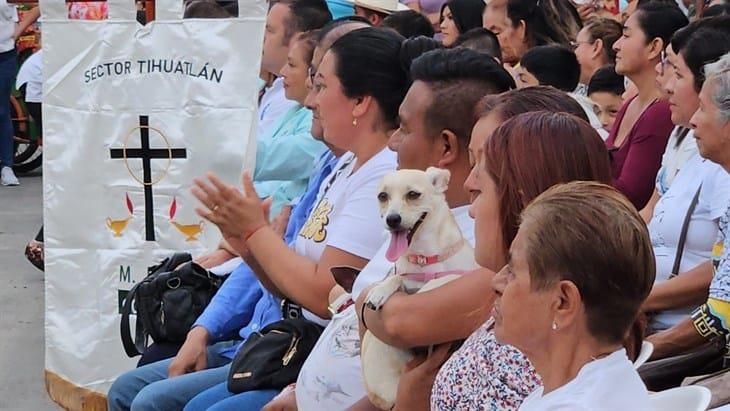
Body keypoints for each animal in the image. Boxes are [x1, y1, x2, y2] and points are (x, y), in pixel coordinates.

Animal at [360, 167, 478, 408]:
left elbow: (446, 276)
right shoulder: (405, 277)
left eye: (413, 195)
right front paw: (380, 290)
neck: (425, 260)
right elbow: (397, 278)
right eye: (382, 197)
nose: (392, 219)